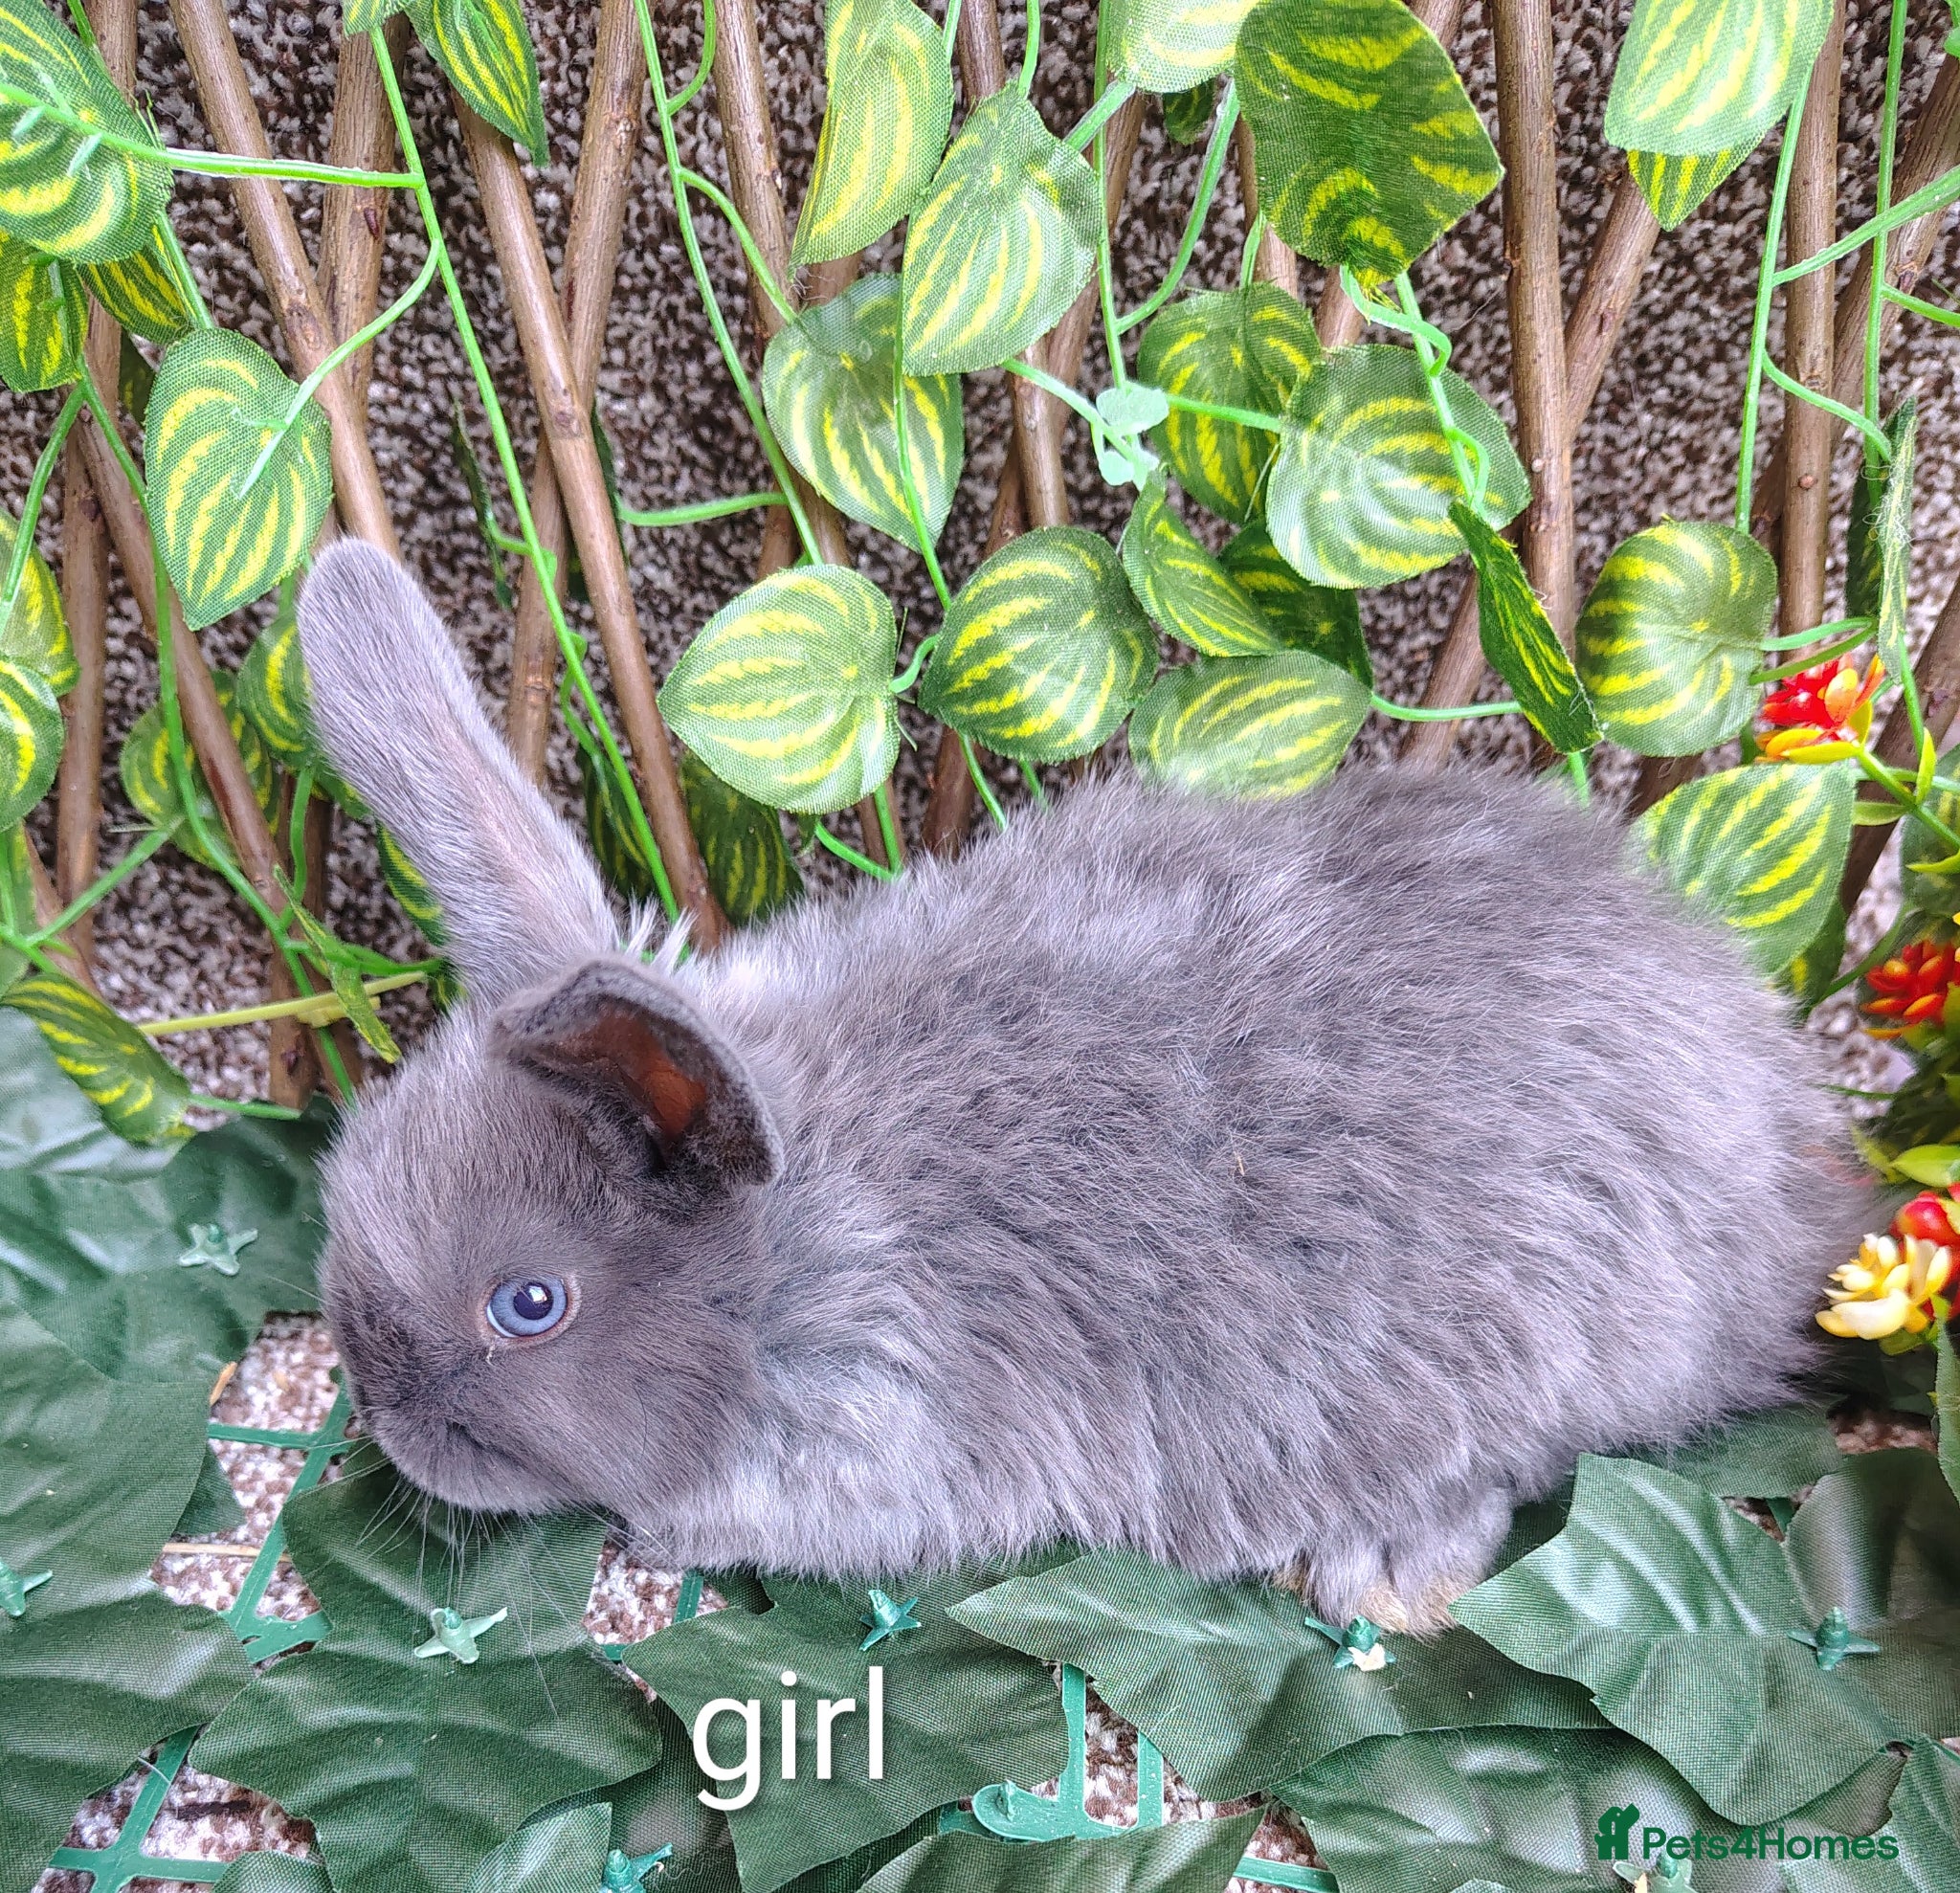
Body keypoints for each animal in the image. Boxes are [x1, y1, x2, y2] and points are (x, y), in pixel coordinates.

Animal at [297, 541, 1869, 1632]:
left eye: (528, 1304)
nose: (383, 1417)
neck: (807, 1238)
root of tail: (1788, 1158)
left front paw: (660, 1536)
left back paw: (1379, 1565)